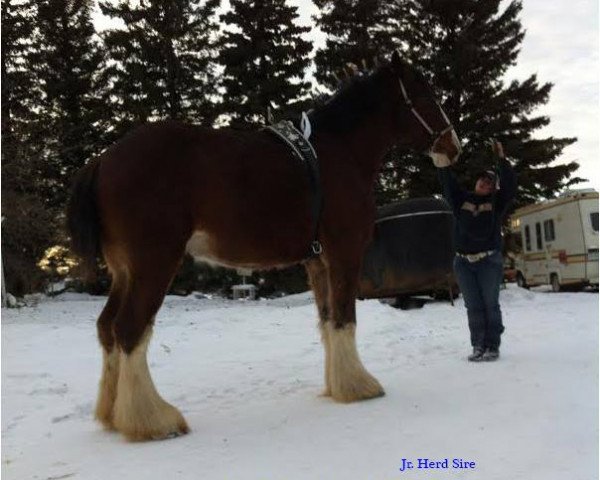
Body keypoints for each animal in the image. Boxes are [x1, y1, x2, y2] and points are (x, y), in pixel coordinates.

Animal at [67, 50, 460, 440]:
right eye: (425, 95)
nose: (453, 147)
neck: (338, 153)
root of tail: (103, 160)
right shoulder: (345, 253)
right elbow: (344, 318)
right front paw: (358, 386)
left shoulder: (317, 262)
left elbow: (327, 319)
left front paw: (336, 386)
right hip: (154, 263)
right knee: (129, 328)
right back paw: (153, 421)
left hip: (124, 271)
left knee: (107, 327)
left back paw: (113, 415)